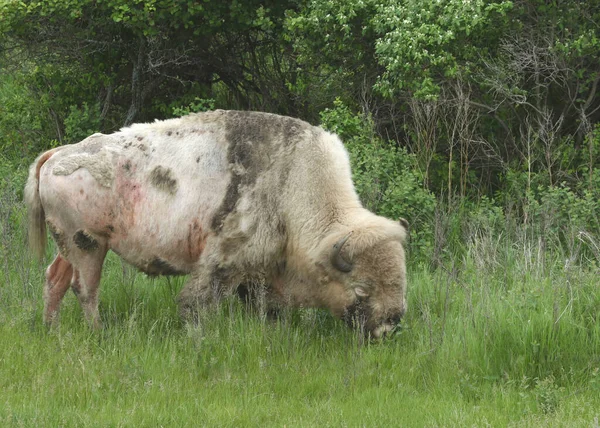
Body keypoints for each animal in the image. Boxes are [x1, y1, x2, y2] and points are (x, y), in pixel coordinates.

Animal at [23, 109, 408, 338]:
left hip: (70, 246)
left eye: (401, 281)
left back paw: (50, 330)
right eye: (361, 289)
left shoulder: (257, 270)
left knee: (55, 279)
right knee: (84, 288)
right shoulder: (224, 259)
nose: (389, 327)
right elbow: (199, 300)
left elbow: (263, 305)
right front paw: (197, 336)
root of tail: (55, 155)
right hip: (88, 243)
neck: (292, 184)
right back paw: (97, 333)